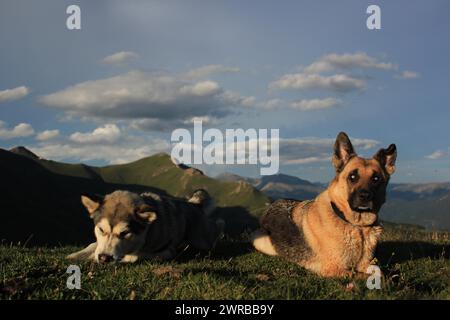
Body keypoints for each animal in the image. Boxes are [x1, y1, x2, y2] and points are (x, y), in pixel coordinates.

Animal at [66, 189, 224, 264]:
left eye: (124, 233)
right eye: (101, 230)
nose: (105, 258)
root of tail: (194, 204)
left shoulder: (167, 251)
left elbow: (135, 257)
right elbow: (93, 245)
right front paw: (78, 254)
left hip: (202, 239)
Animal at [253, 132, 398, 278]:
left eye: (376, 179)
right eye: (352, 177)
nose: (365, 196)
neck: (357, 227)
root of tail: (272, 205)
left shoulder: (367, 264)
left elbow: (379, 271)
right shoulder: (335, 268)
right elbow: (365, 275)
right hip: (261, 242)